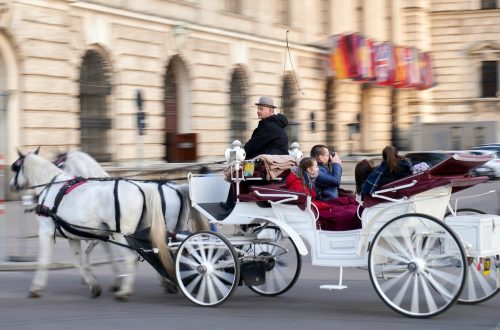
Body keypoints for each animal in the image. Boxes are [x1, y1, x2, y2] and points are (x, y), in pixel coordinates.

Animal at [9, 148, 174, 300]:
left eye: (16, 167)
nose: (11, 185)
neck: (52, 187)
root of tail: (142, 188)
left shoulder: (45, 232)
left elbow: (43, 261)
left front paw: (36, 288)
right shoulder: (73, 236)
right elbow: (79, 261)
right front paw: (93, 284)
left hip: (123, 235)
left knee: (132, 258)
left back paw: (125, 291)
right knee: (153, 252)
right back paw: (164, 281)